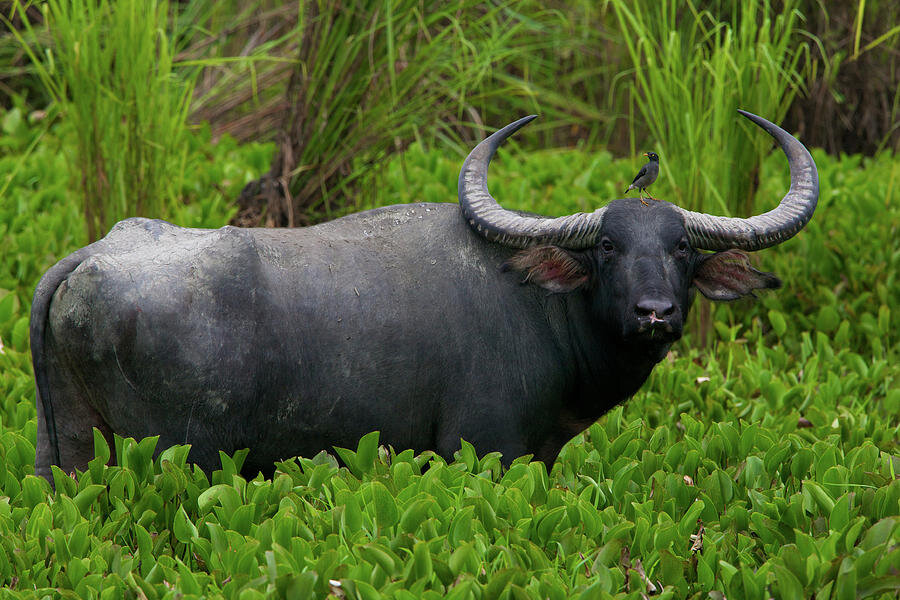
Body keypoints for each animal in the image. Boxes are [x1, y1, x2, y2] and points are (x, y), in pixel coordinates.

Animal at [31, 110, 816, 480]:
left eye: (682, 248)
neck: (541, 309)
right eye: (607, 248)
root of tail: (96, 253)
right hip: (178, 453)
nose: (655, 314)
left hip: (68, 446)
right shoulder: (486, 447)